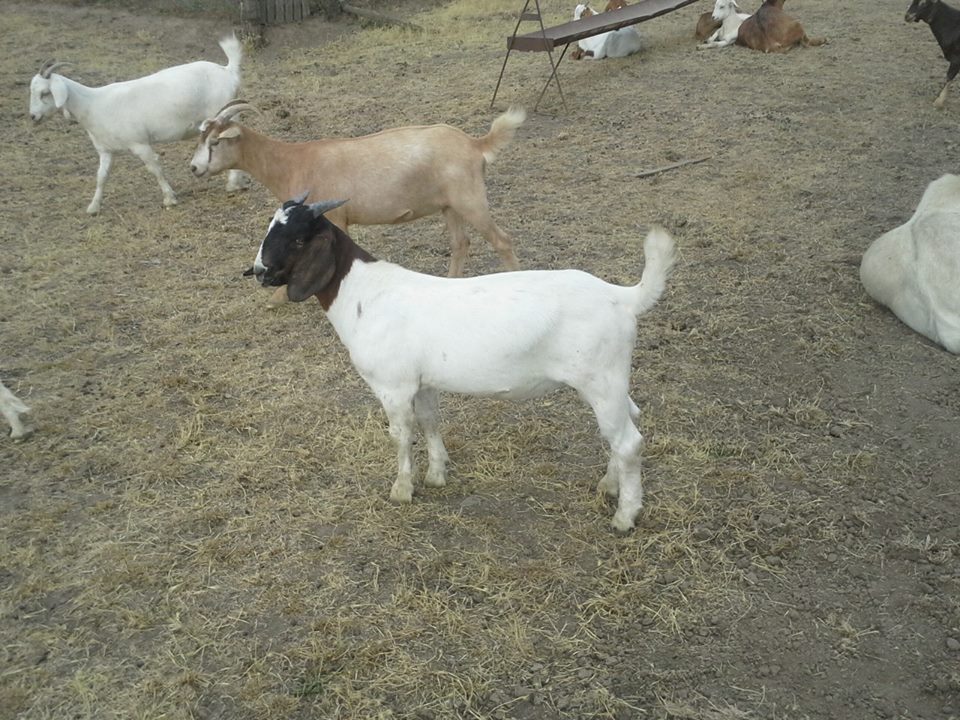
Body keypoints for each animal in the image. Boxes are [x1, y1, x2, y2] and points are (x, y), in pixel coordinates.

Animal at [29, 36, 245, 215]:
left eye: (45, 93)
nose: (33, 116)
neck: (93, 104)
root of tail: (228, 71)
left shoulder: (139, 143)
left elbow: (154, 168)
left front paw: (169, 198)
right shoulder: (105, 150)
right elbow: (101, 176)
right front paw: (93, 207)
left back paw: (233, 184)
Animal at [191, 102, 523, 287]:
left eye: (215, 142)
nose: (194, 167)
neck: (293, 161)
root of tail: (474, 144)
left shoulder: (335, 217)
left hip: (470, 199)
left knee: (502, 240)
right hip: (449, 205)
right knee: (460, 243)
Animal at [247, 195, 676, 531]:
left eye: (298, 238)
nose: (258, 272)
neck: (363, 293)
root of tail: (623, 297)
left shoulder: (393, 386)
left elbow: (400, 435)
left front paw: (402, 490)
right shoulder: (422, 382)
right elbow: (430, 421)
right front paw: (438, 473)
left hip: (600, 379)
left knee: (628, 442)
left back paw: (625, 516)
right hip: (610, 380)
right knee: (628, 423)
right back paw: (609, 485)